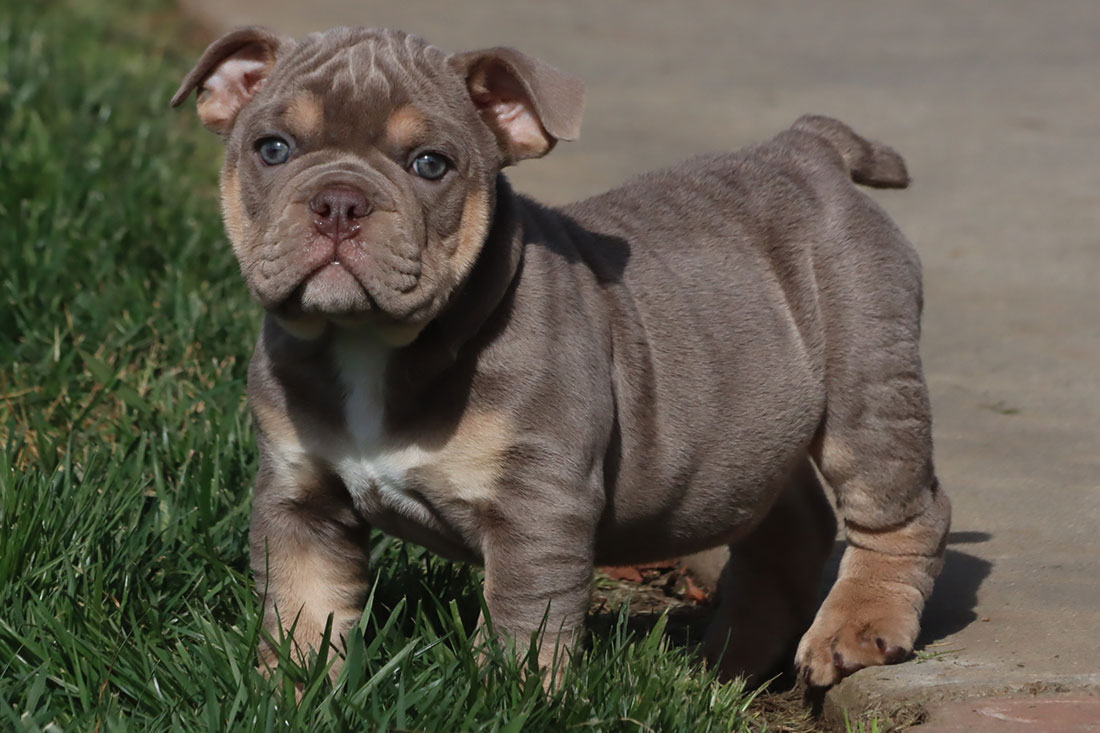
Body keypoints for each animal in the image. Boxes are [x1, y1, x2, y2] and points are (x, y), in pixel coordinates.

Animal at [176, 22, 950, 686]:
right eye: (273, 149)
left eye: (430, 164)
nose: (339, 201)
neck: (368, 342)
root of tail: (809, 148)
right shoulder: (300, 501)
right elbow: (304, 613)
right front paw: (295, 691)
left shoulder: (537, 510)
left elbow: (523, 627)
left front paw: (509, 699)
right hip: (752, 426)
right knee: (787, 526)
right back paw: (726, 667)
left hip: (867, 383)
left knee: (901, 511)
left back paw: (855, 630)